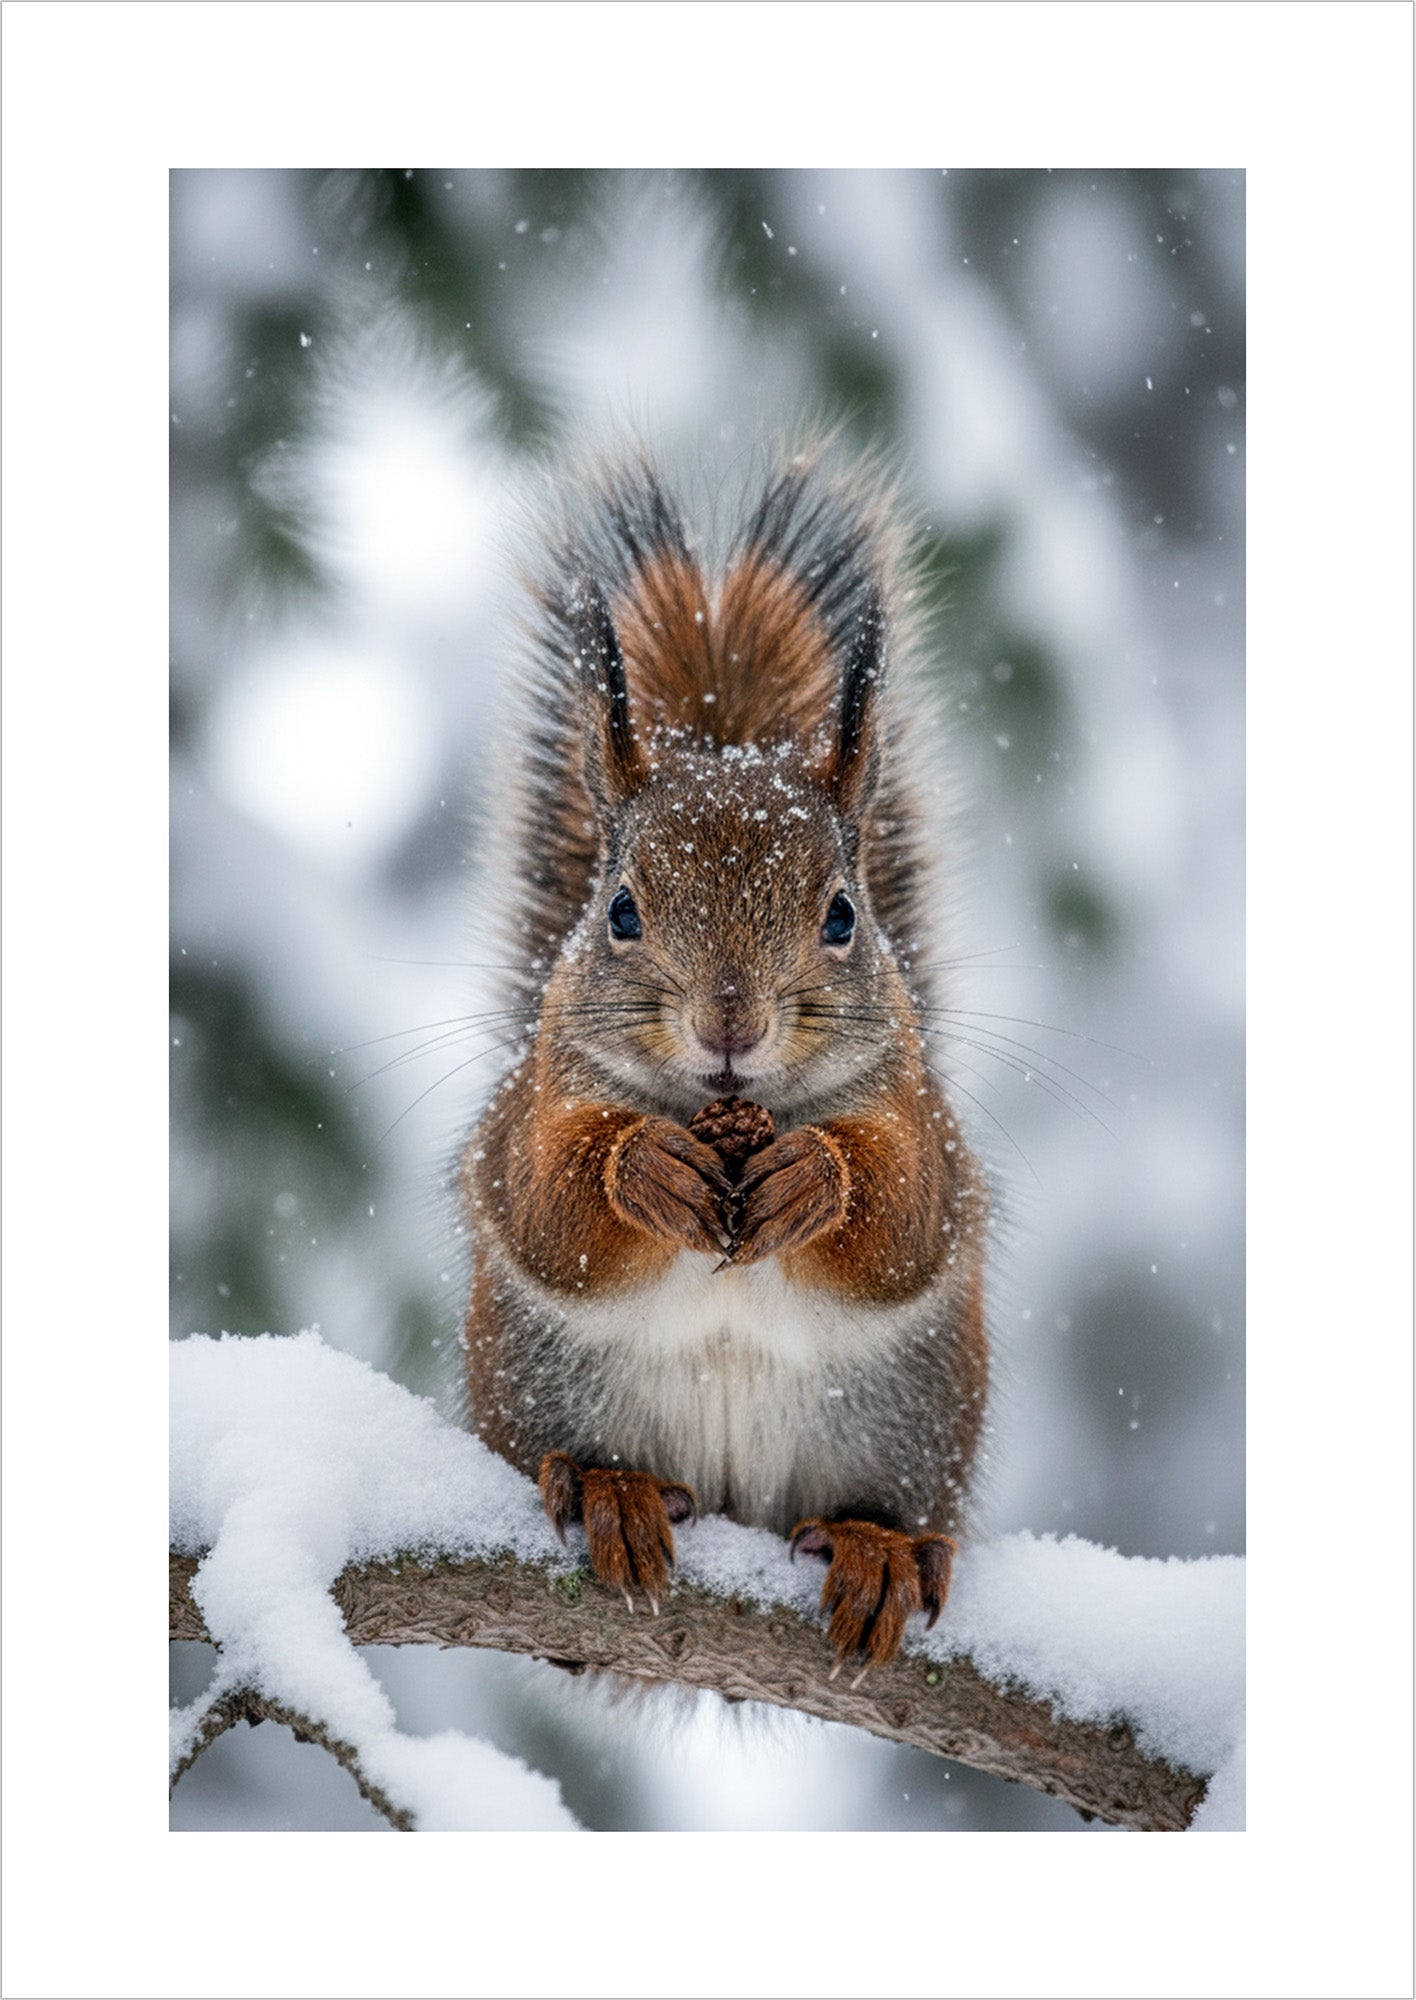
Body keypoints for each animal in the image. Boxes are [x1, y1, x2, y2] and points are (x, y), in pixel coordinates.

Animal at [459, 442, 989, 1671]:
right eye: (619, 910)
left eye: (843, 915)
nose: (729, 1026)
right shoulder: (536, 1098)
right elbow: (545, 1202)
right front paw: (644, 1168)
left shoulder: (920, 1112)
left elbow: (906, 1216)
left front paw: (815, 1179)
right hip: (542, 1384)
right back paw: (608, 1489)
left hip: (910, 1422)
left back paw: (877, 1548)